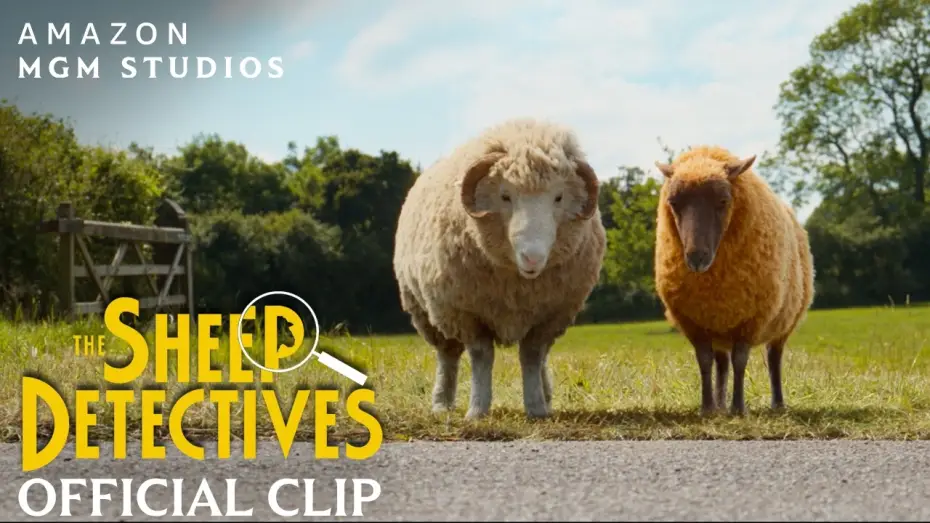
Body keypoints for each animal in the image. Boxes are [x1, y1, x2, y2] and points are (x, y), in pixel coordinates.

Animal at [392, 118, 606, 419]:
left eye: (559, 198)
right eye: (505, 196)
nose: (532, 258)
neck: (517, 284)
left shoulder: (550, 316)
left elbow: (532, 356)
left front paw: (536, 407)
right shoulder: (467, 314)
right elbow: (482, 357)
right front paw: (477, 409)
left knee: (540, 358)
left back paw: (546, 395)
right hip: (428, 312)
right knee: (447, 356)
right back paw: (442, 403)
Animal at [653, 145, 814, 416]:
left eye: (723, 201)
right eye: (673, 203)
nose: (696, 257)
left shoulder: (751, 319)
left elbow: (740, 361)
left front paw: (738, 408)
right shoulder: (695, 322)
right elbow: (705, 362)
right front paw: (707, 408)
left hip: (784, 322)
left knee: (774, 359)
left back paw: (777, 403)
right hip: (720, 325)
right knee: (721, 364)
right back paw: (719, 404)